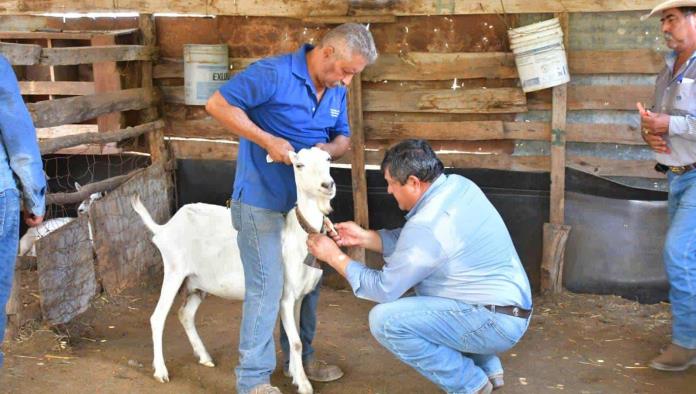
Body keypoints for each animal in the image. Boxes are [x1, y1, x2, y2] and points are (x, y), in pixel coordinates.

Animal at [133, 146, 338, 392]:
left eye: (328, 159)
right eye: (299, 165)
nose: (328, 185)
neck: (296, 234)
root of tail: (164, 228)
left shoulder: (298, 297)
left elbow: (294, 338)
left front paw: (295, 374)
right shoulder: (285, 296)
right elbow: (297, 342)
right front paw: (304, 384)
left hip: (197, 282)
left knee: (185, 314)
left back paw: (204, 357)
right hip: (174, 272)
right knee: (158, 317)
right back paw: (161, 371)